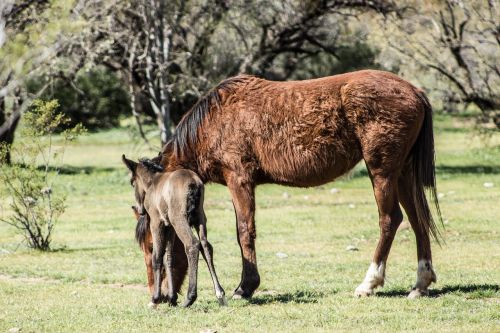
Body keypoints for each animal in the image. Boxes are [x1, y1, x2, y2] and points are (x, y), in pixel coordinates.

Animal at [158, 70, 440, 298]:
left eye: (154, 243)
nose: (159, 297)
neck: (216, 119)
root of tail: (415, 91)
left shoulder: (239, 180)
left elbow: (244, 232)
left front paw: (245, 287)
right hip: (401, 174)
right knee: (417, 220)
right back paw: (420, 284)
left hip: (382, 173)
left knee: (390, 220)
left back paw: (369, 283)